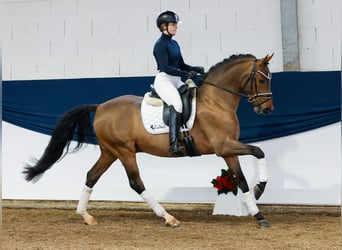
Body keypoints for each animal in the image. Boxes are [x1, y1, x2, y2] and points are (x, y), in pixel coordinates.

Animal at [22, 53, 276, 229]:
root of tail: (101, 106)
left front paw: (258, 214)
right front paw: (260, 190)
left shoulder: (228, 150)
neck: (217, 101)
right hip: (124, 151)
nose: (267, 109)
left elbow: (241, 180)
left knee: (92, 176)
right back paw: (169, 218)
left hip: (109, 151)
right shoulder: (224, 146)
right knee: (136, 183)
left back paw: (86, 215)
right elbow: (259, 151)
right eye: (262, 80)